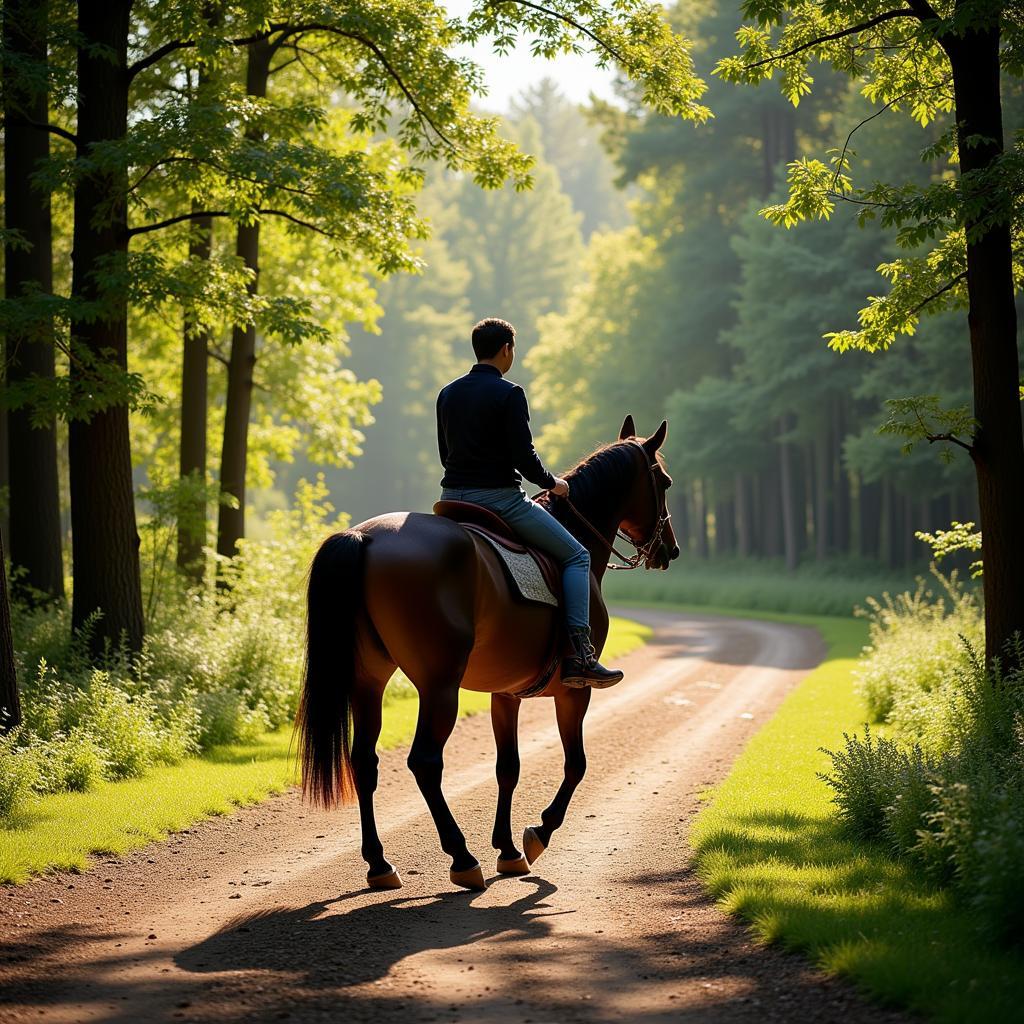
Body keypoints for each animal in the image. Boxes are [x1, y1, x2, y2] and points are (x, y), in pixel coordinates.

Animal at [296, 411, 679, 892]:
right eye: (663, 481)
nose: (671, 550)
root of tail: (364, 538)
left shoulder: (507, 693)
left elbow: (507, 768)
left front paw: (509, 850)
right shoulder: (575, 690)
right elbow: (576, 765)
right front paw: (538, 833)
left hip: (369, 680)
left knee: (364, 761)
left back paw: (380, 864)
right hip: (439, 686)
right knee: (425, 762)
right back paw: (461, 857)